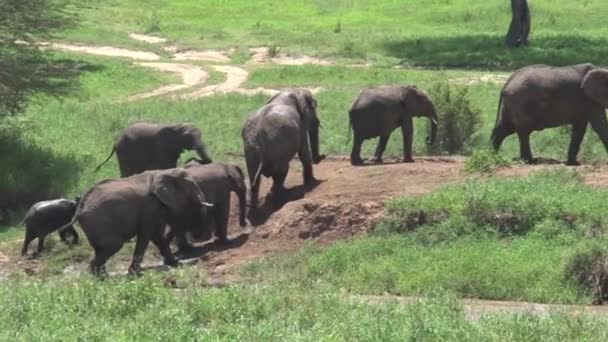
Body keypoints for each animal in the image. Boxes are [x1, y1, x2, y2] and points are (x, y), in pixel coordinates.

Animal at [58, 169, 213, 278]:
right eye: (192, 185)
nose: (198, 236)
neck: (164, 172)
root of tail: (79, 209)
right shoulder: (149, 207)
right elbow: (147, 235)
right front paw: (136, 272)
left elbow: (157, 237)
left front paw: (176, 263)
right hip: (99, 223)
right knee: (113, 246)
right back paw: (101, 277)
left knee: (100, 250)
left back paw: (101, 275)